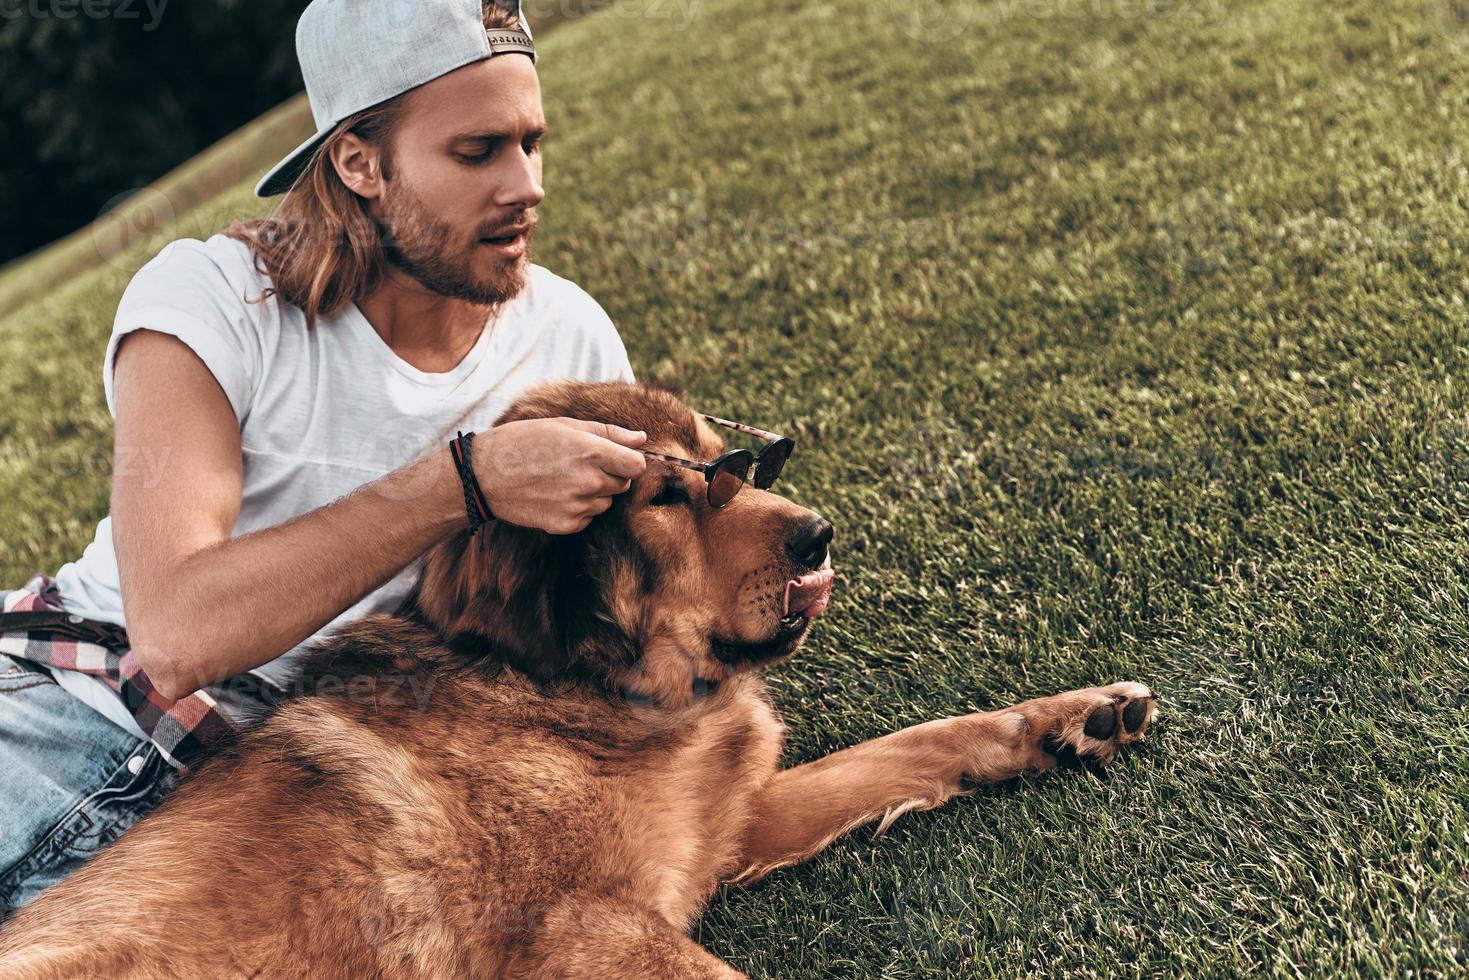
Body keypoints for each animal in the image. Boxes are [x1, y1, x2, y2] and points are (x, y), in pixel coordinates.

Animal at [0, 379, 1151, 975]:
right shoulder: (587, 927)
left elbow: (911, 745)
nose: (820, 534)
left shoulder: (725, 829)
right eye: (664, 497)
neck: (594, 697)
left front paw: (1067, 718)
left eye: (737, 467)